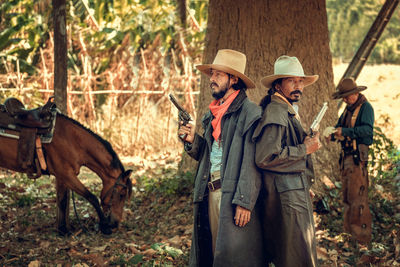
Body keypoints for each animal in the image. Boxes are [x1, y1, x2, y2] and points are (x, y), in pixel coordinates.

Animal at [0, 112, 134, 236]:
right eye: (121, 195)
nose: (116, 223)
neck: (73, 140)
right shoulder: (67, 175)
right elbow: (92, 197)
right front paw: (104, 227)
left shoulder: (63, 177)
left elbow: (63, 200)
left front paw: (63, 229)